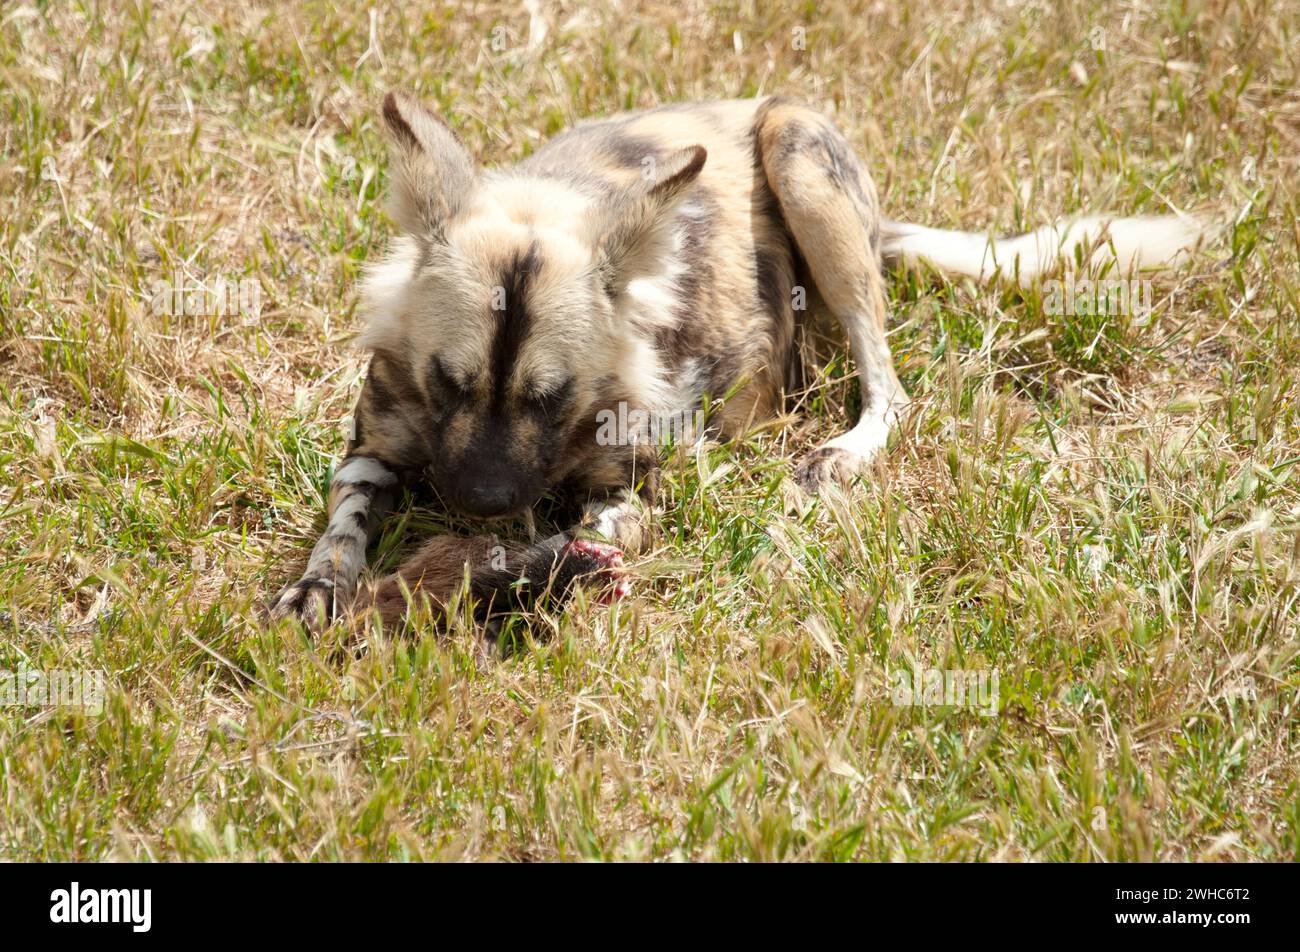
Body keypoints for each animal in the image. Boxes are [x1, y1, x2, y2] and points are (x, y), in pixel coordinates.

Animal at [271, 92, 1206, 629]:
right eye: (447, 380)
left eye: (553, 396)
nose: (480, 502)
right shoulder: (373, 452)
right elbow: (343, 527)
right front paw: (325, 586)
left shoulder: (630, 495)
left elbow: (585, 537)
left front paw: (504, 574)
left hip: (802, 161)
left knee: (889, 388)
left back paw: (834, 455)